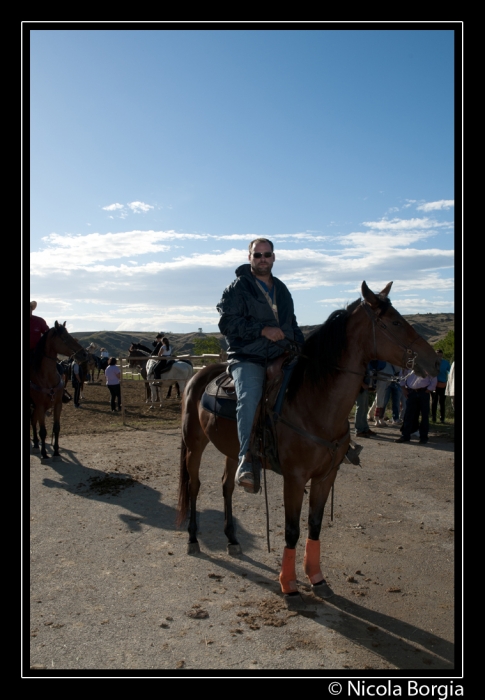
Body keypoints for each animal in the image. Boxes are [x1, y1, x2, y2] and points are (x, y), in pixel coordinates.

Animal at [30, 322, 87, 460]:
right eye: (64, 337)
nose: (84, 354)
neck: (47, 377)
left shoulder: (57, 404)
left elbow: (56, 428)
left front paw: (56, 451)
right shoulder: (40, 406)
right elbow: (43, 431)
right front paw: (44, 454)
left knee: (33, 421)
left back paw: (36, 444)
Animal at [176, 282, 440, 600]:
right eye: (395, 322)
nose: (435, 361)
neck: (314, 401)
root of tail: (199, 375)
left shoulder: (326, 476)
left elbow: (315, 525)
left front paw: (317, 577)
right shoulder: (295, 478)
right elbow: (292, 530)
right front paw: (288, 583)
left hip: (233, 450)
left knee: (227, 485)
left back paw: (233, 540)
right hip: (194, 444)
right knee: (194, 486)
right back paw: (192, 539)